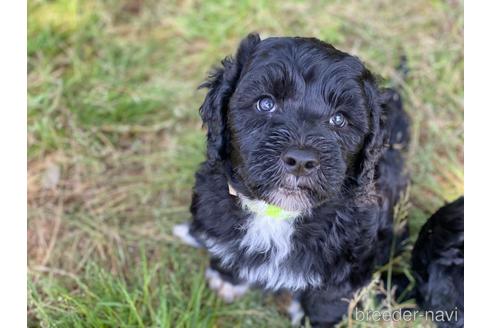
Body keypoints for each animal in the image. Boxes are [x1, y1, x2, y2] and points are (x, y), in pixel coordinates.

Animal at [175, 33, 410, 326]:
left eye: (339, 119)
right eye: (266, 103)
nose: (301, 160)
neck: (277, 214)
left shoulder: (349, 261)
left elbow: (327, 301)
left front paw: (312, 320)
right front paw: (226, 279)